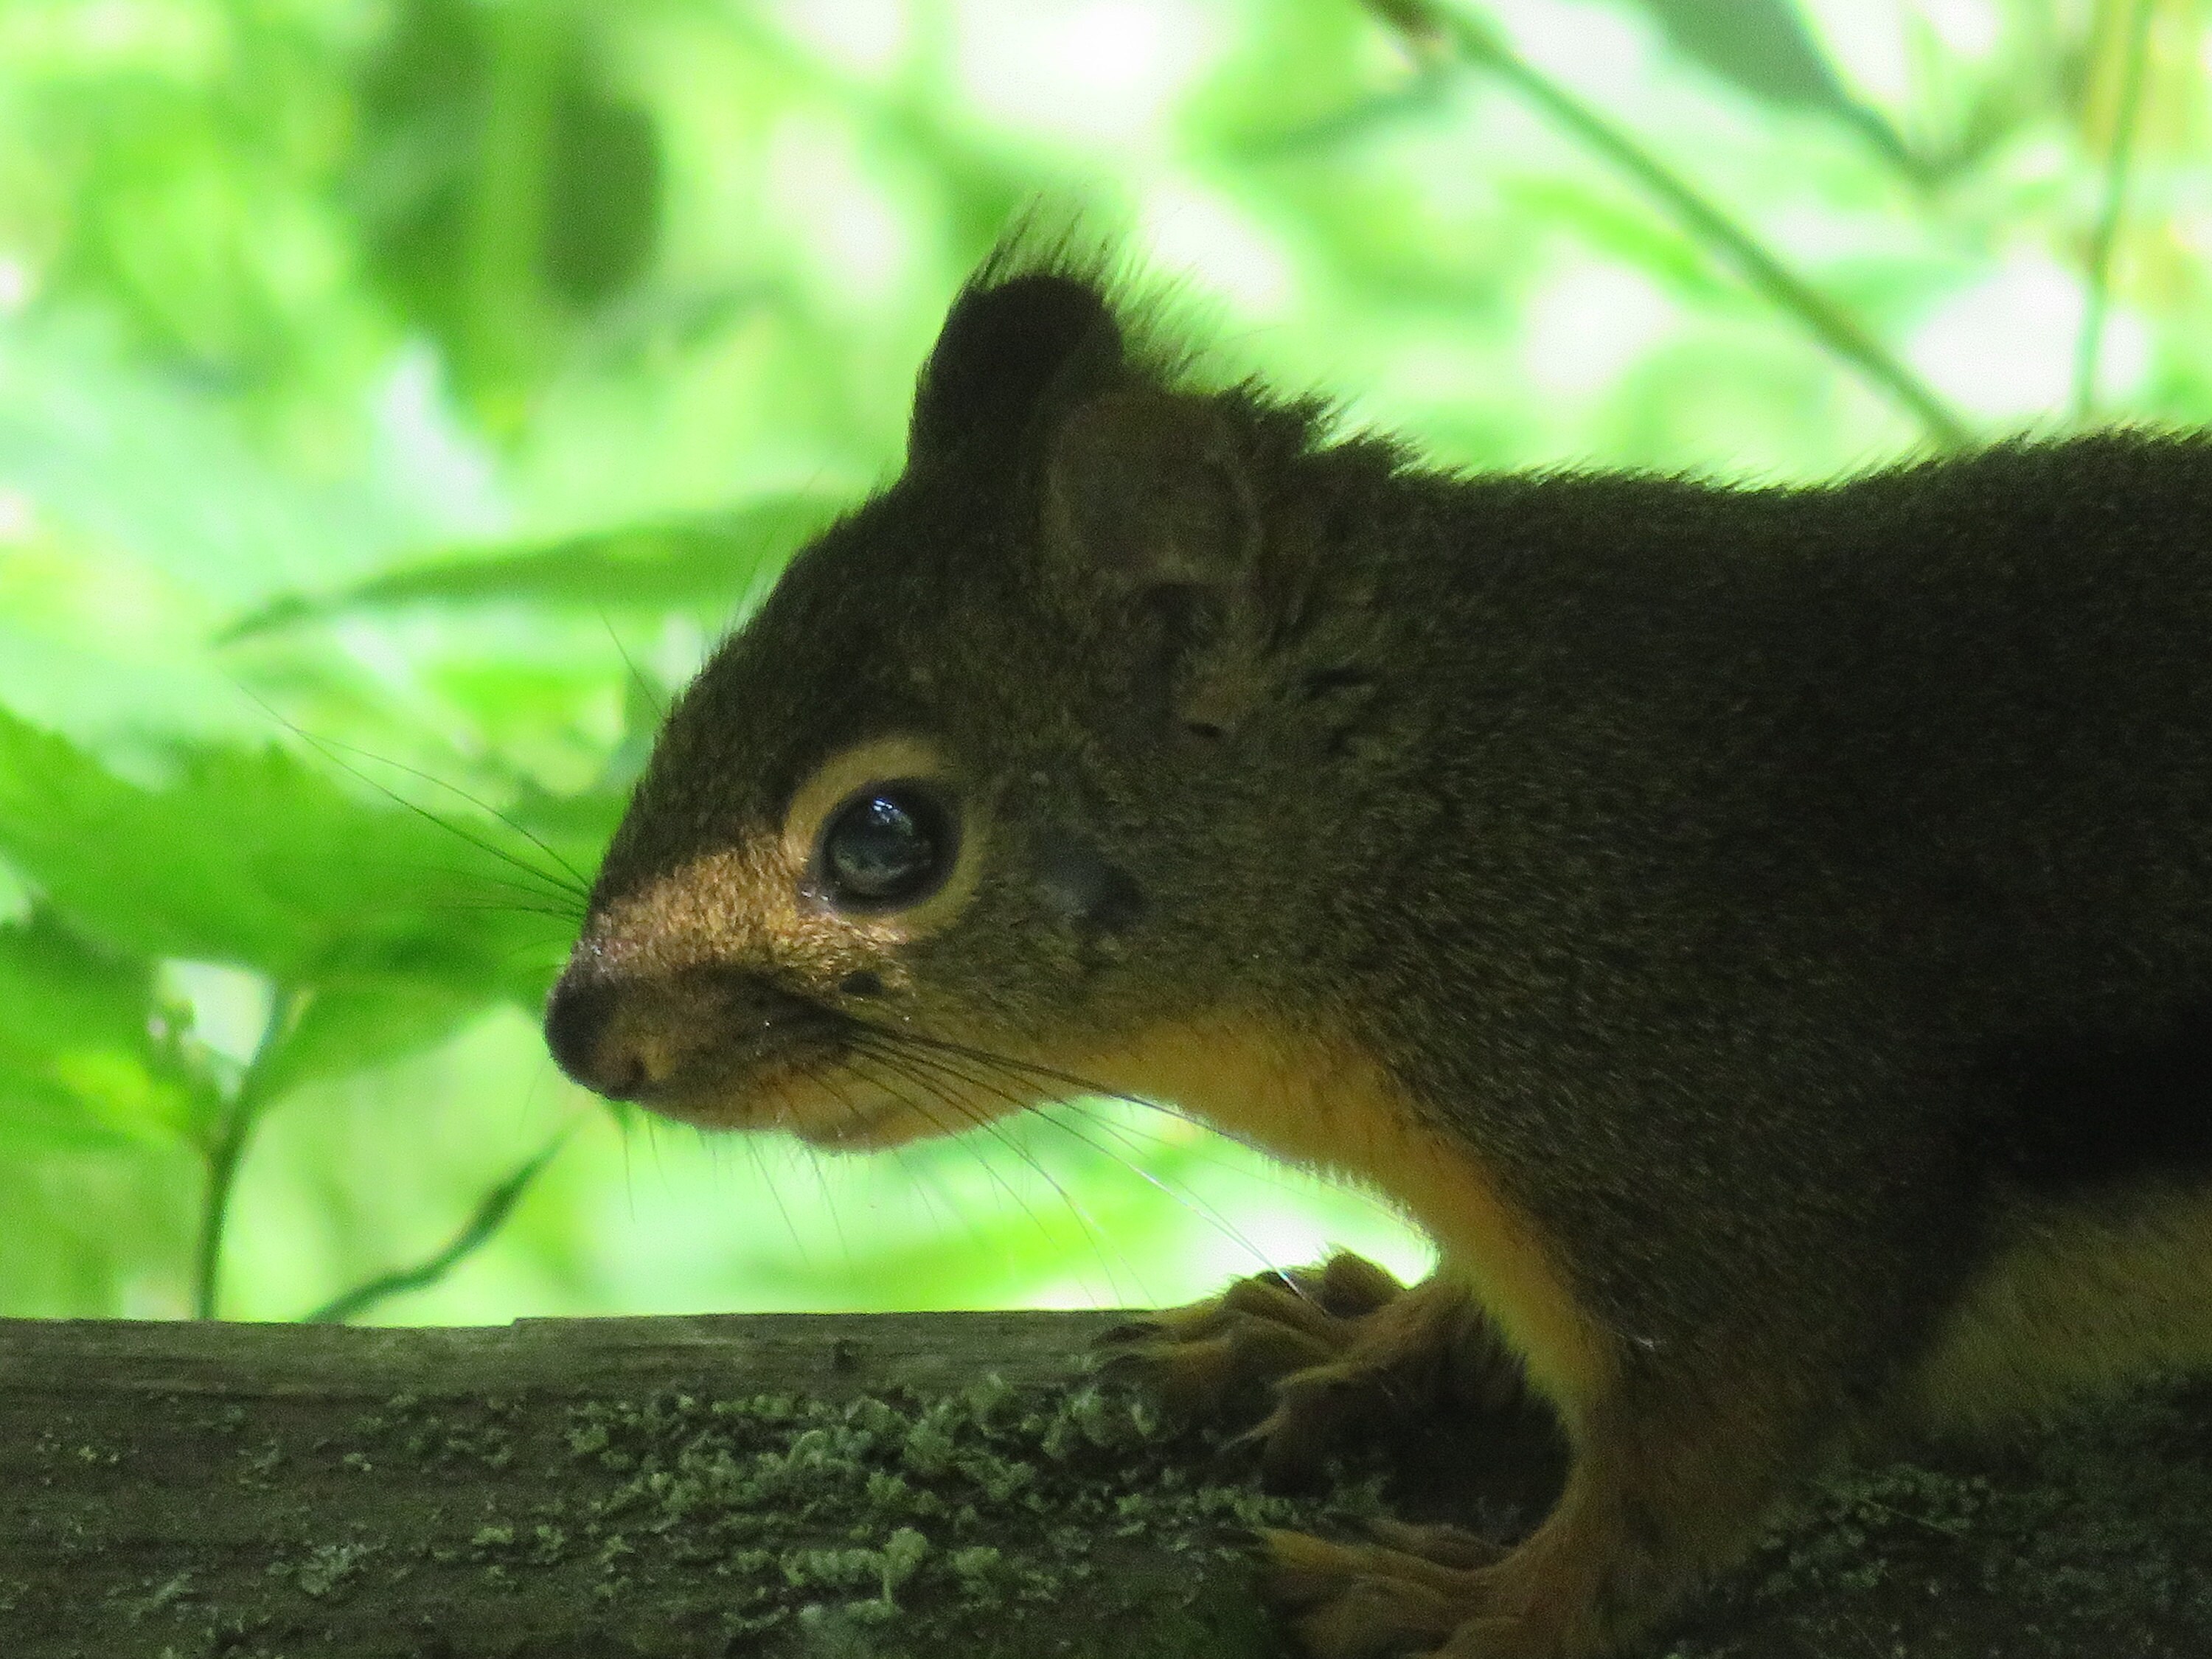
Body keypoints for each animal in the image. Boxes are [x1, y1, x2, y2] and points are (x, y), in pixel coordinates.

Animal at [540, 237, 2212, 1659]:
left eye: (887, 836)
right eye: (696, 697)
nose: (581, 1033)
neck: (1447, 837)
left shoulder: (1754, 1187)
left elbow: (1667, 1498)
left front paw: (1473, 1610)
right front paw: (1349, 1342)